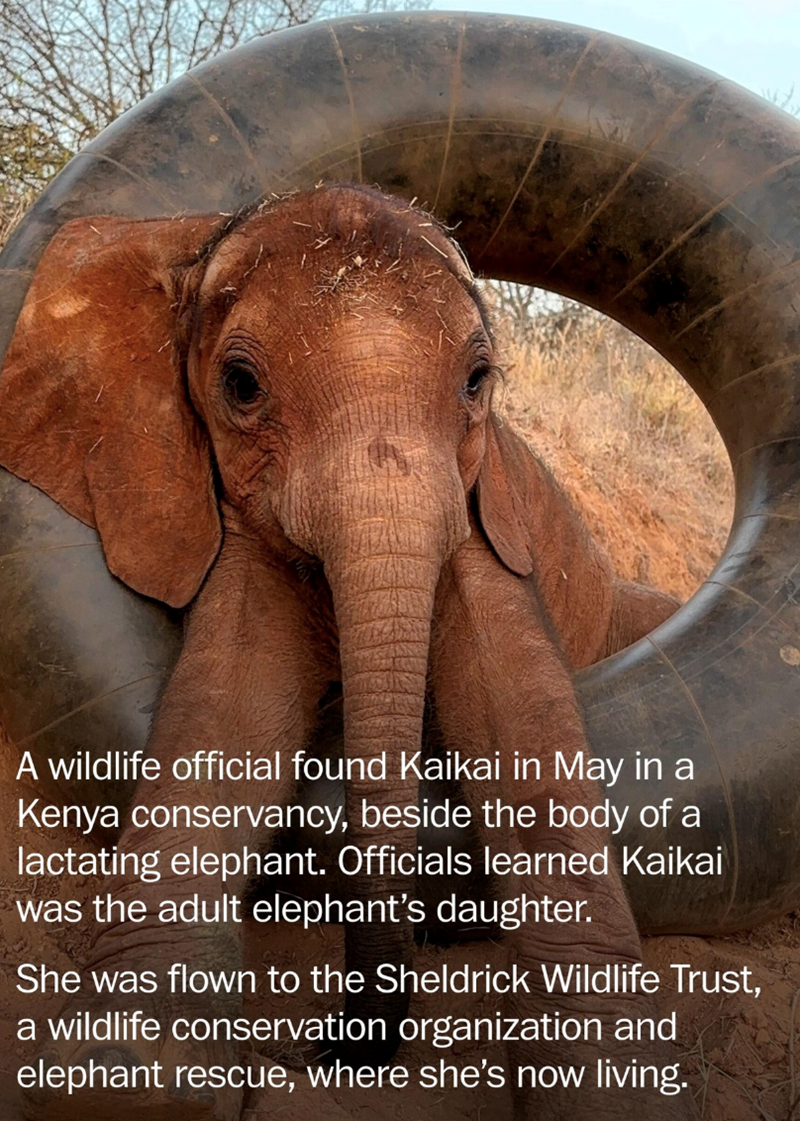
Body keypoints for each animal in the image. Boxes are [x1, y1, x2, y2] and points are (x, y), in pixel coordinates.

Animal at [0, 183, 692, 1121]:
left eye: (478, 380)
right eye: (240, 385)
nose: (333, 1044)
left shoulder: (482, 507)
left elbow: (515, 697)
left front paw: (616, 1086)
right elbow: (233, 695)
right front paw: (127, 1081)